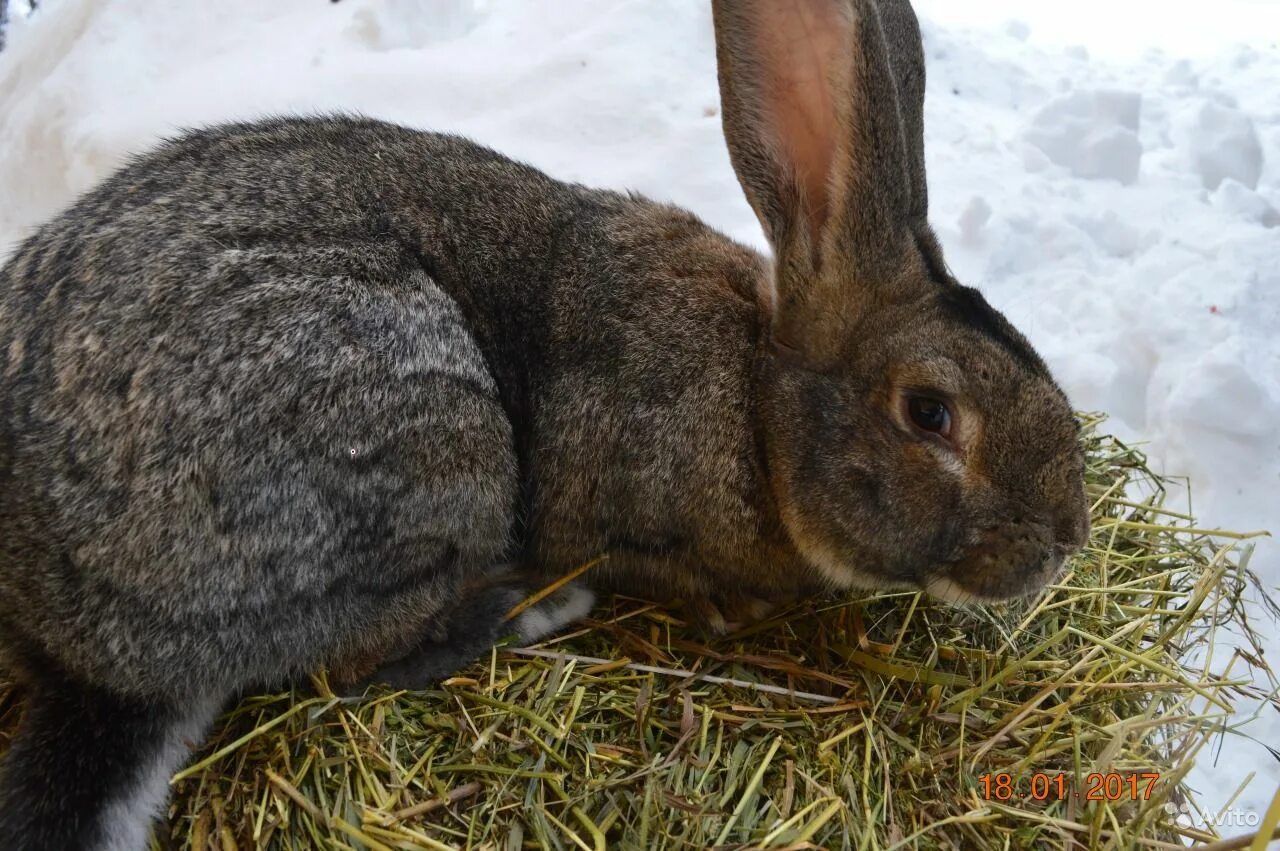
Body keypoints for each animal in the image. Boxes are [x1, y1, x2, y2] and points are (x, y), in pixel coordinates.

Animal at [0, 0, 1090, 844]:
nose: (1065, 538)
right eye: (930, 413)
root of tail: (91, 635)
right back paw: (540, 606)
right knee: (358, 660)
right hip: (428, 432)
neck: (755, 403)